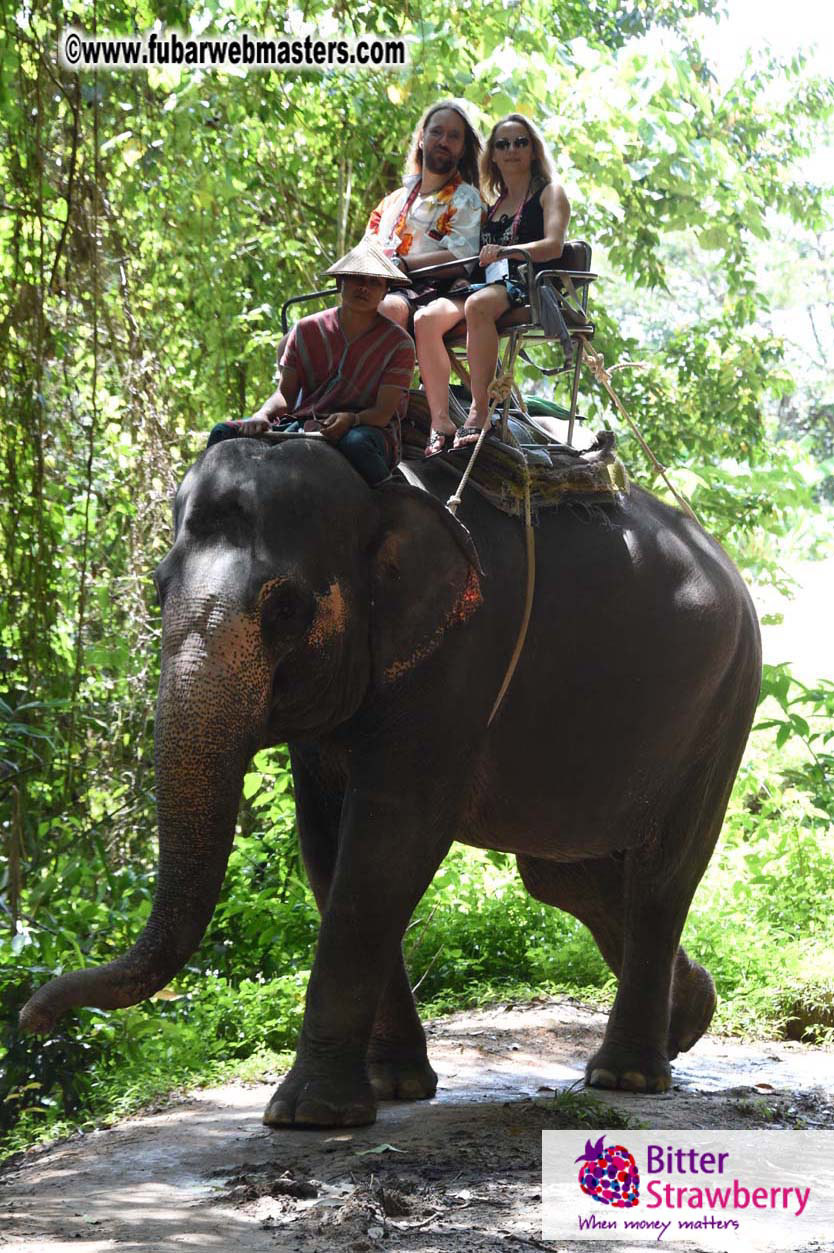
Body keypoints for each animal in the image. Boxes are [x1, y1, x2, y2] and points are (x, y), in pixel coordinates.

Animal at [20, 432, 762, 1127]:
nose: (32, 1016)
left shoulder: (463, 651)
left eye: (285, 609)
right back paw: (688, 1019)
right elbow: (325, 845)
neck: (375, 487)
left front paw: (309, 1114)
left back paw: (627, 1074)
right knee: (565, 875)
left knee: (663, 874)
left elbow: (387, 840)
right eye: (156, 588)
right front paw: (393, 1087)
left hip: (727, 702)